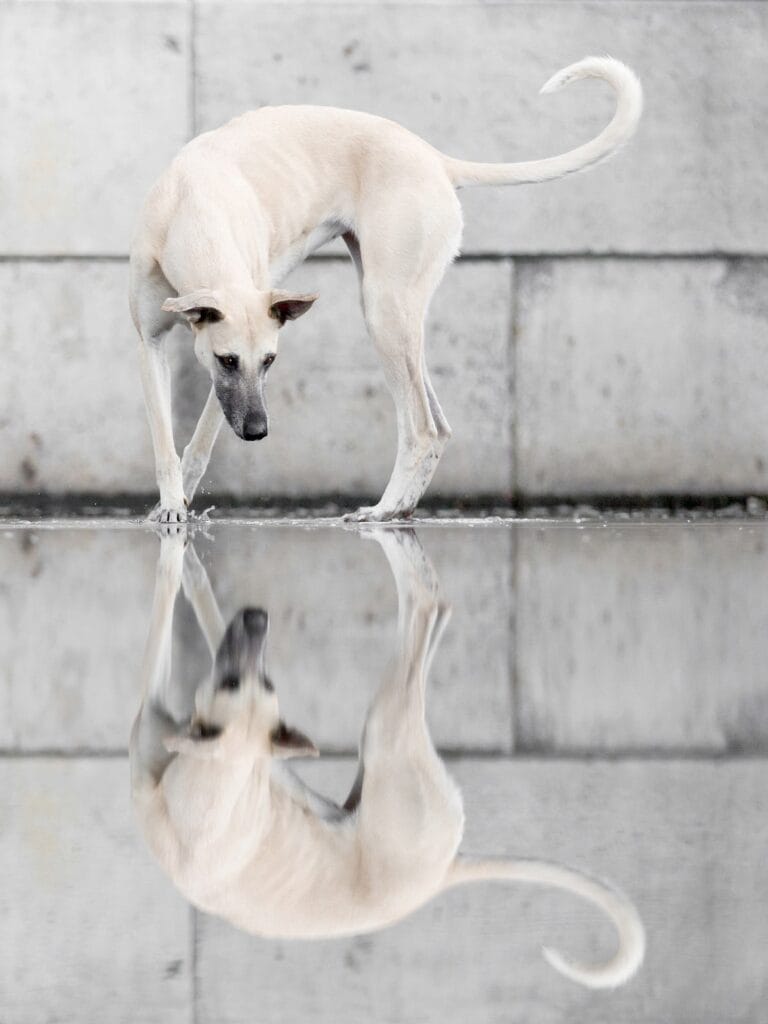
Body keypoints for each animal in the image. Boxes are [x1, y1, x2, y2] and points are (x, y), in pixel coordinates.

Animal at [129, 532, 647, 987]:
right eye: (233, 682)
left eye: (265, 683)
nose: (257, 617)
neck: (211, 776)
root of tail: (443, 874)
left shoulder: (154, 716)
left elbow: (165, 608)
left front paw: (183, 562)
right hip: (376, 753)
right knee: (428, 634)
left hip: (385, 734)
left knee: (426, 606)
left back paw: (411, 570)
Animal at [131, 55, 643, 520]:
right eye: (228, 360)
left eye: (271, 360)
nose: (258, 432)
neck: (193, 207)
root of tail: (435, 159)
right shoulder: (153, 343)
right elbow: (164, 435)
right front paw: (172, 504)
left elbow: (201, 436)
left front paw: (179, 502)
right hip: (397, 318)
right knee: (440, 427)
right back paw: (402, 508)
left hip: (384, 310)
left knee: (422, 428)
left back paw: (384, 509)